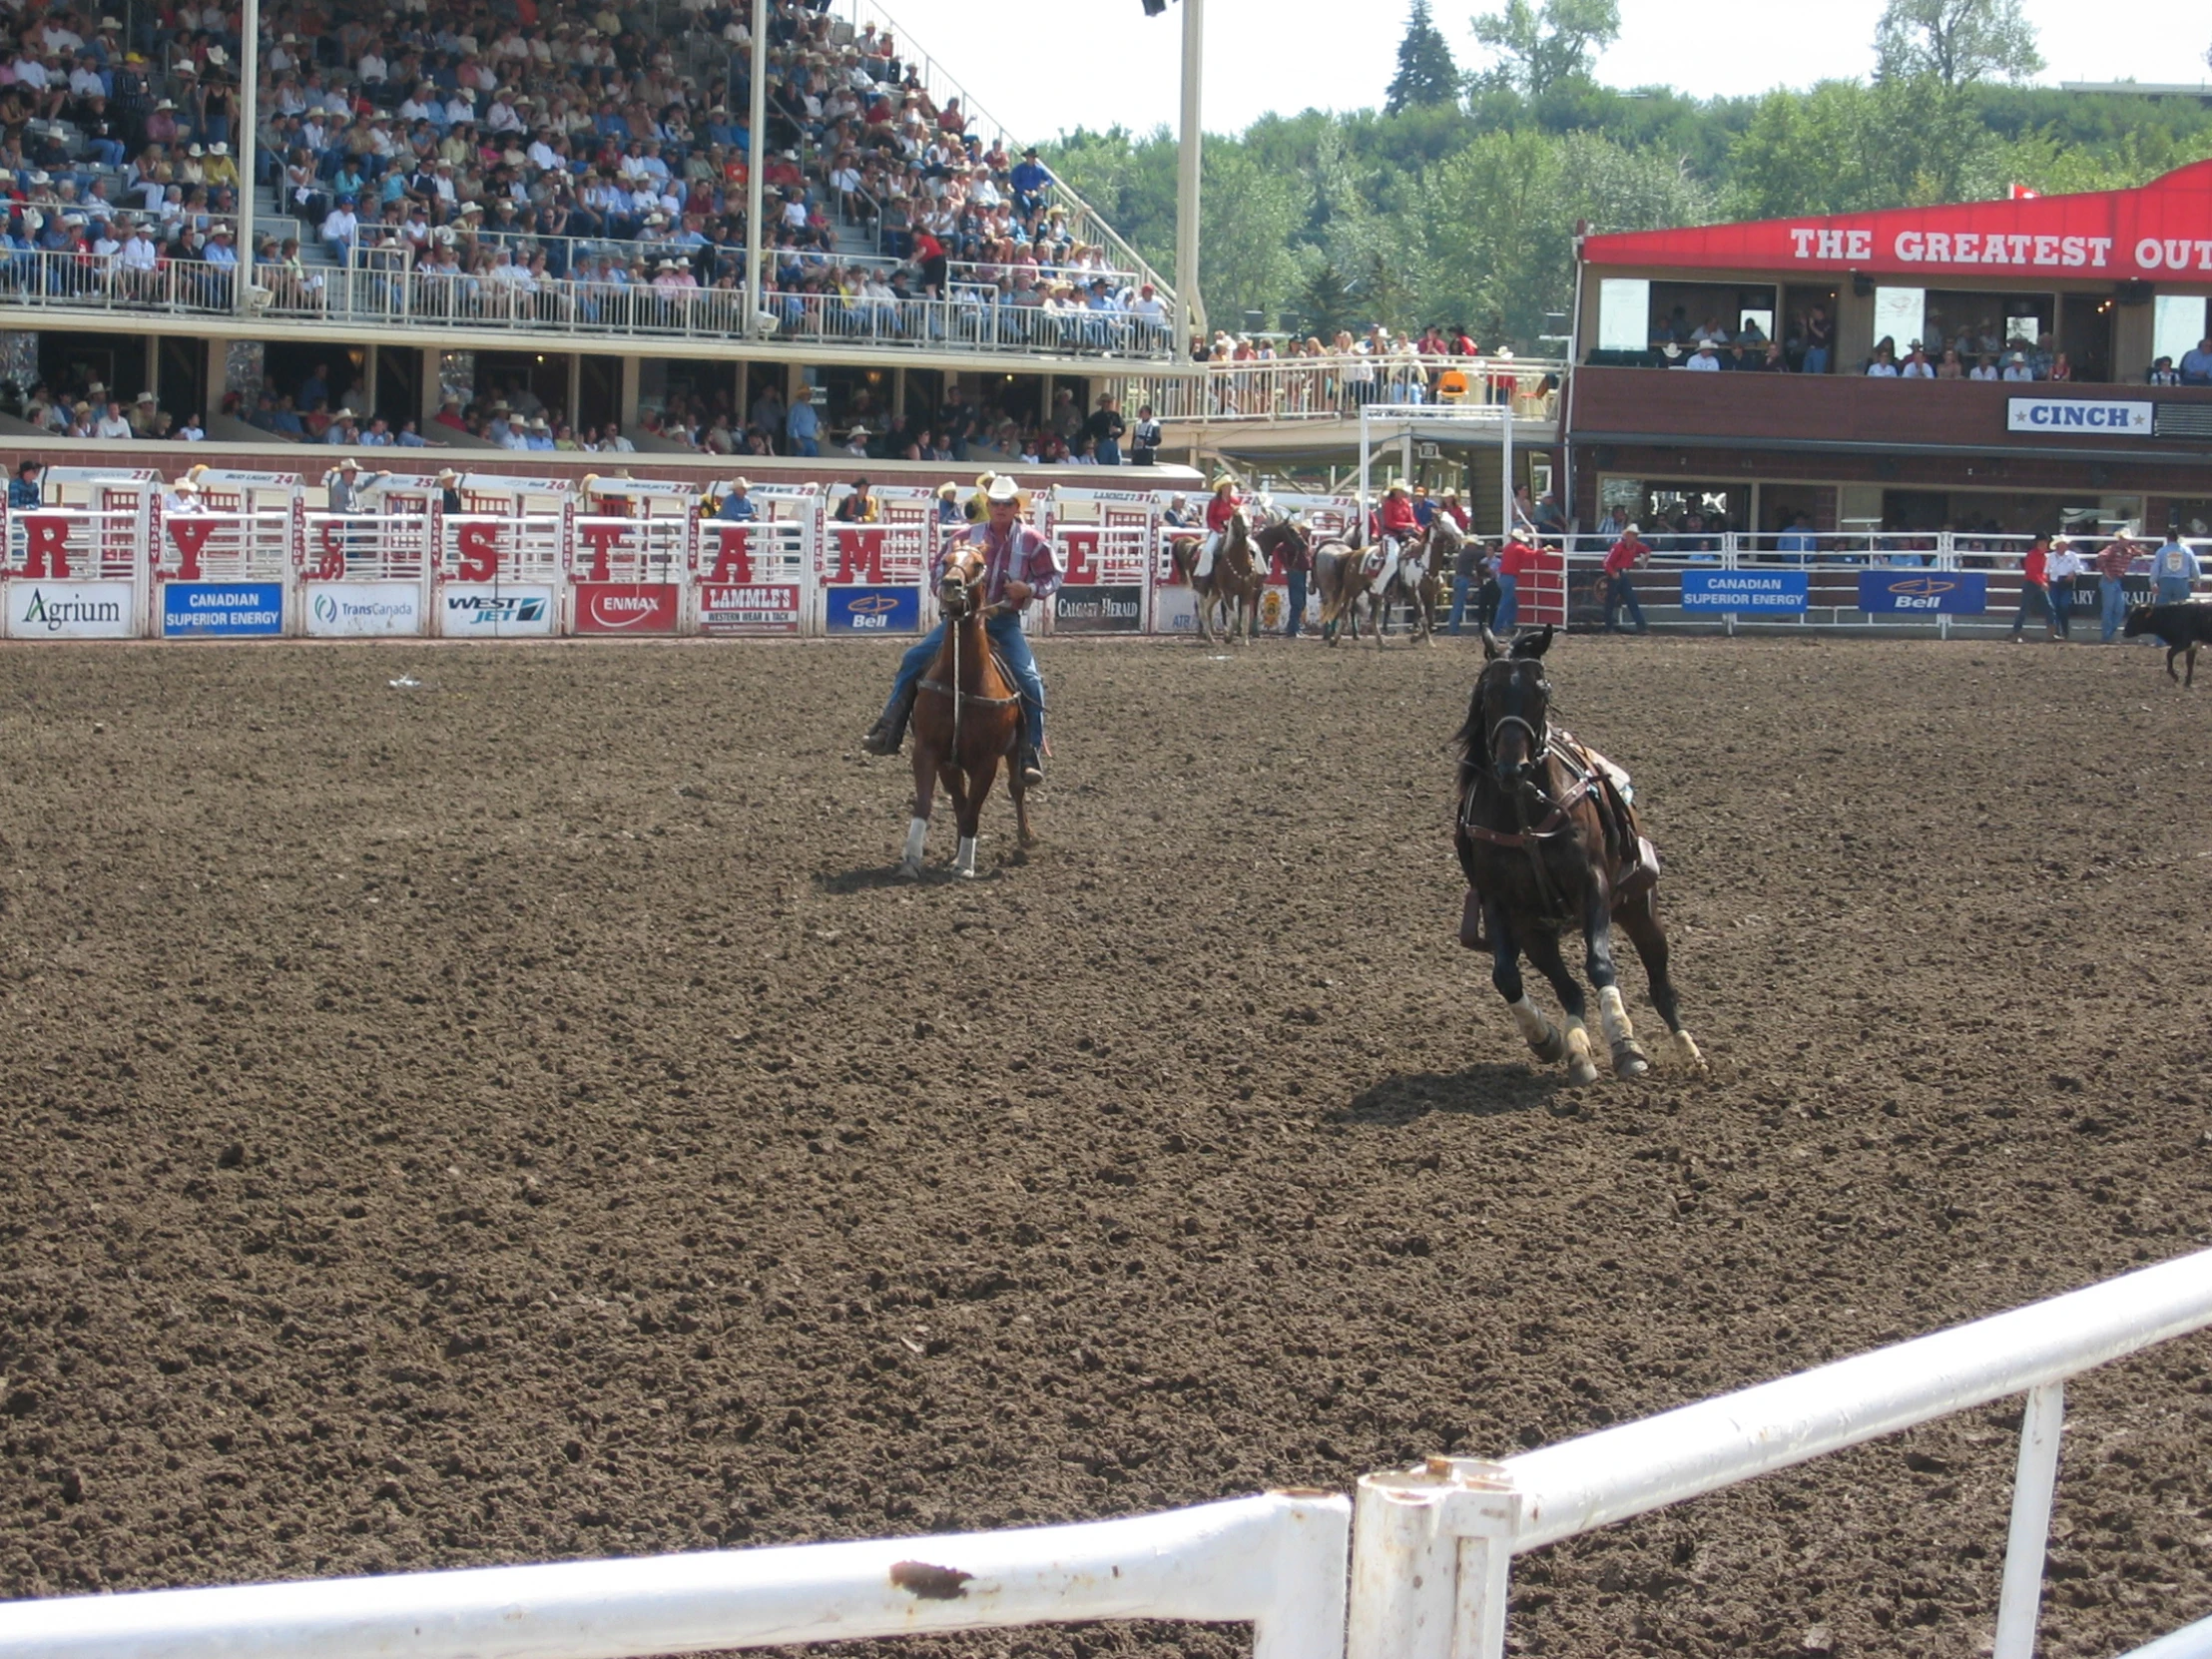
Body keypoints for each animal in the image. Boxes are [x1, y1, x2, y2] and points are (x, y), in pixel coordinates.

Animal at [902, 546, 1030, 884]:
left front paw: (965, 864)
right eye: (945, 561)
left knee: (1017, 787)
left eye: (979, 564)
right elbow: (928, 803)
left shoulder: (987, 762)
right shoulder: (929, 751)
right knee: (960, 798)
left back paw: (1025, 839)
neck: (963, 678)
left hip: (1013, 749)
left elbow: (973, 808)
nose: (950, 584)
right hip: (951, 764)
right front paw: (912, 858)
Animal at [1159, 506, 1265, 641]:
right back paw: (1210, 637)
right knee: (1202, 610)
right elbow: (1234, 617)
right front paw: (1228, 637)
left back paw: (1211, 632)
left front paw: (1245, 641)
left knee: (1208, 608)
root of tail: (1193, 546)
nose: (1247, 529)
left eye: (1249, 515)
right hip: (1201, 588)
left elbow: (1244, 618)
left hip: (1215, 591)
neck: (1238, 562)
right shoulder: (1228, 593)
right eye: (1236, 516)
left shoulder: (1247, 592)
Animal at [1450, 628, 1707, 1083]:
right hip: (1537, 934)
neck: (1525, 817)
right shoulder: (1499, 903)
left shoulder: (1593, 886)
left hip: (1640, 911)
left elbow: (1600, 965)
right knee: (1569, 991)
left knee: (1660, 987)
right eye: (1490, 690)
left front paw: (1626, 1047)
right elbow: (1506, 977)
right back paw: (1577, 1052)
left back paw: (1689, 1052)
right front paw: (1544, 1037)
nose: (1513, 769)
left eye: (1540, 690)